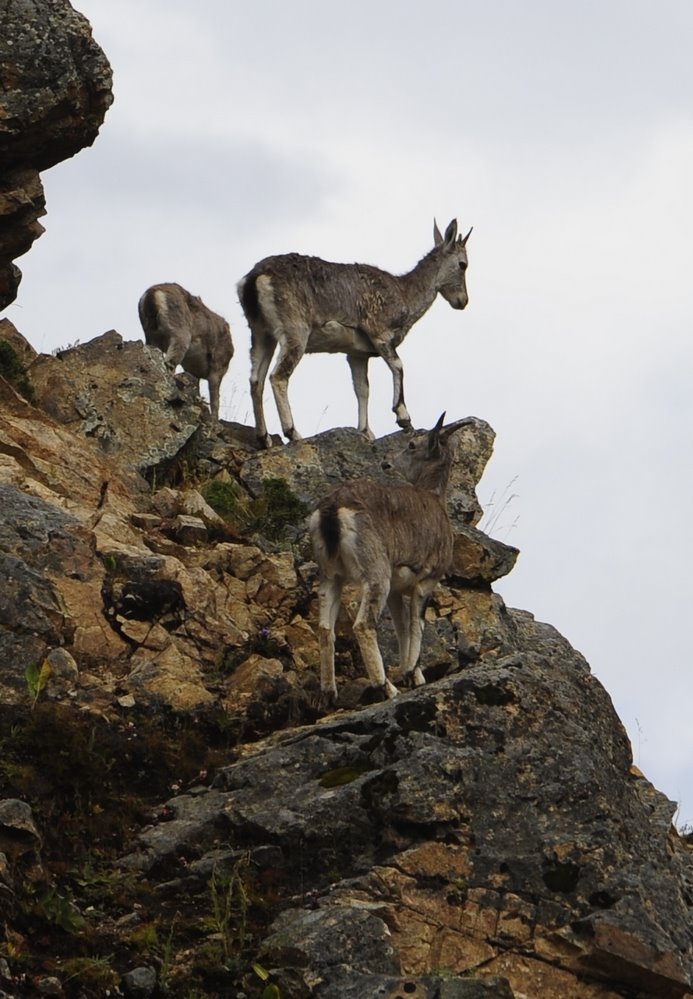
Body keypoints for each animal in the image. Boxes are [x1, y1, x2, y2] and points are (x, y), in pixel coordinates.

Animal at [237, 224, 470, 454]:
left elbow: (362, 389)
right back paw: (293, 433)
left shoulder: (356, 353)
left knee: (256, 380)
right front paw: (403, 416)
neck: (404, 295)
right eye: (463, 264)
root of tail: (253, 279)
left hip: (261, 333)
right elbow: (398, 366)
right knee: (278, 376)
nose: (463, 301)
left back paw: (264, 438)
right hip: (295, 331)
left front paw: (366, 432)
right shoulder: (378, 331)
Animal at [310, 412, 476, 704]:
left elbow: (401, 628)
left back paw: (329, 693)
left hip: (331, 575)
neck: (434, 499)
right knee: (363, 625)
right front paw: (413, 674)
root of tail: (332, 510)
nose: (386, 462)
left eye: (412, 445)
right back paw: (387, 687)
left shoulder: (397, 591)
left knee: (324, 628)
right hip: (376, 574)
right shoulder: (425, 582)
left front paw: (413, 674)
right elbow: (416, 625)